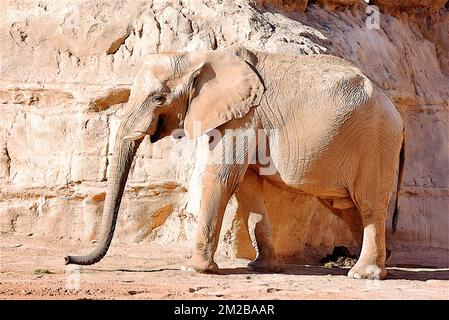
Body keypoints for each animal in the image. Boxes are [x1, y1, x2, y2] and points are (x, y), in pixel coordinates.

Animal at [65, 45, 402, 280]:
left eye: (158, 98)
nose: (68, 259)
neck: (197, 56)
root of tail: (395, 109)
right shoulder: (244, 119)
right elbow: (248, 186)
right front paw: (261, 267)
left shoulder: (242, 117)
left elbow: (221, 177)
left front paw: (194, 270)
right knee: (346, 206)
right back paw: (371, 264)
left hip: (376, 143)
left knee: (369, 204)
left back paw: (363, 274)